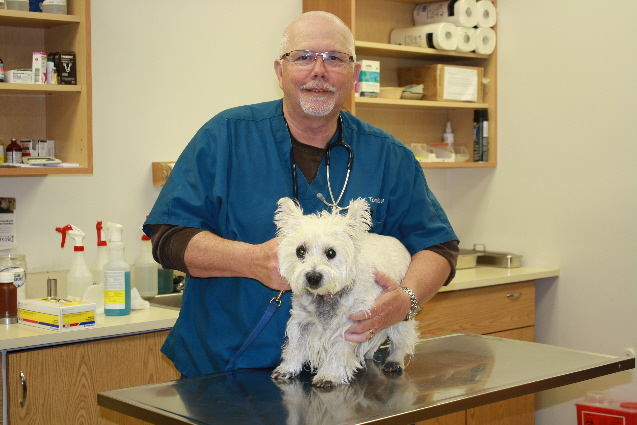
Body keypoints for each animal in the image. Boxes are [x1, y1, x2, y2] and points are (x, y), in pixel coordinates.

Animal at [268, 197, 418, 386]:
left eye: (331, 252)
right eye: (300, 251)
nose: (313, 277)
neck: (326, 297)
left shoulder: (351, 326)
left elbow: (339, 351)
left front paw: (328, 375)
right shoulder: (300, 322)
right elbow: (295, 346)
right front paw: (287, 368)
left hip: (399, 311)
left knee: (401, 339)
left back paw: (394, 361)